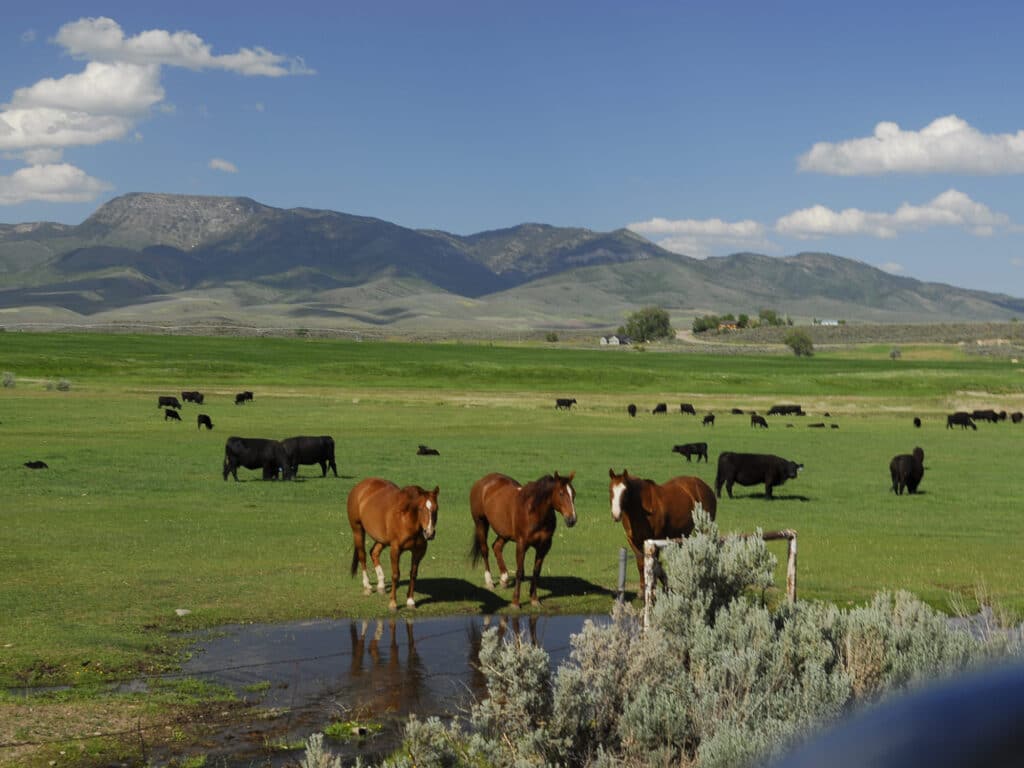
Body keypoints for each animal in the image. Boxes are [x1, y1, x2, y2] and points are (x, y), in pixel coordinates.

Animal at [348, 478, 439, 610]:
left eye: (436, 509)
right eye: (421, 509)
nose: (429, 533)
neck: (406, 518)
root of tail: (361, 486)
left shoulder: (419, 551)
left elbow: (413, 574)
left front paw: (410, 601)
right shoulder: (395, 549)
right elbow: (396, 575)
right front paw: (393, 603)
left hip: (382, 539)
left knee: (374, 552)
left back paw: (381, 584)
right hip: (358, 530)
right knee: (362, 556)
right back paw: (367, 586)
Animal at [469, 471, 577, 608]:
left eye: (574, 494)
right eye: (561, 493)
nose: (572, 519)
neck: (534, 512)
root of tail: (482, 481)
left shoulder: (544, 546)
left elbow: (536, 572)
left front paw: (534, 599)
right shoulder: (521, 544)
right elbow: (519, 572)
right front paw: (515, 602)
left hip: (504, 532)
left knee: (497, 547)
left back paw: (504, 578)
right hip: (481, 523)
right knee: (485, 550)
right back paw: (489, 581)